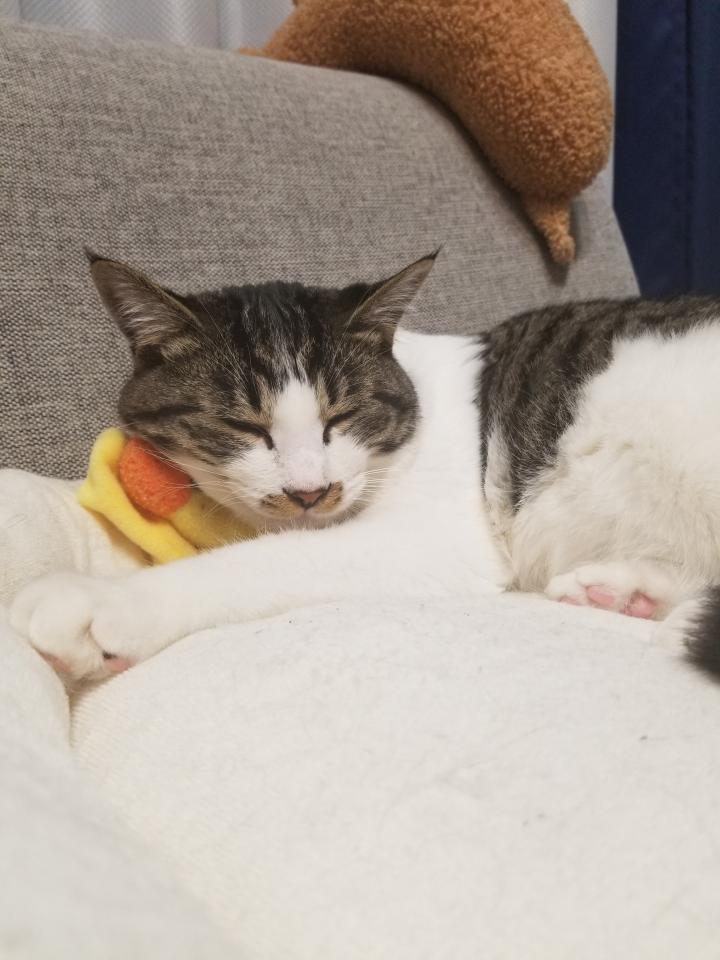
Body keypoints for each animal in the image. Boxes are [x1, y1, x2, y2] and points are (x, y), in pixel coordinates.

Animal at [8, 251, 720, 681]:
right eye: (244, 426)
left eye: (342, 416)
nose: (310, 491)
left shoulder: (431, 539)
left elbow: (258, 563)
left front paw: (103, 601)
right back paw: (629, 593)